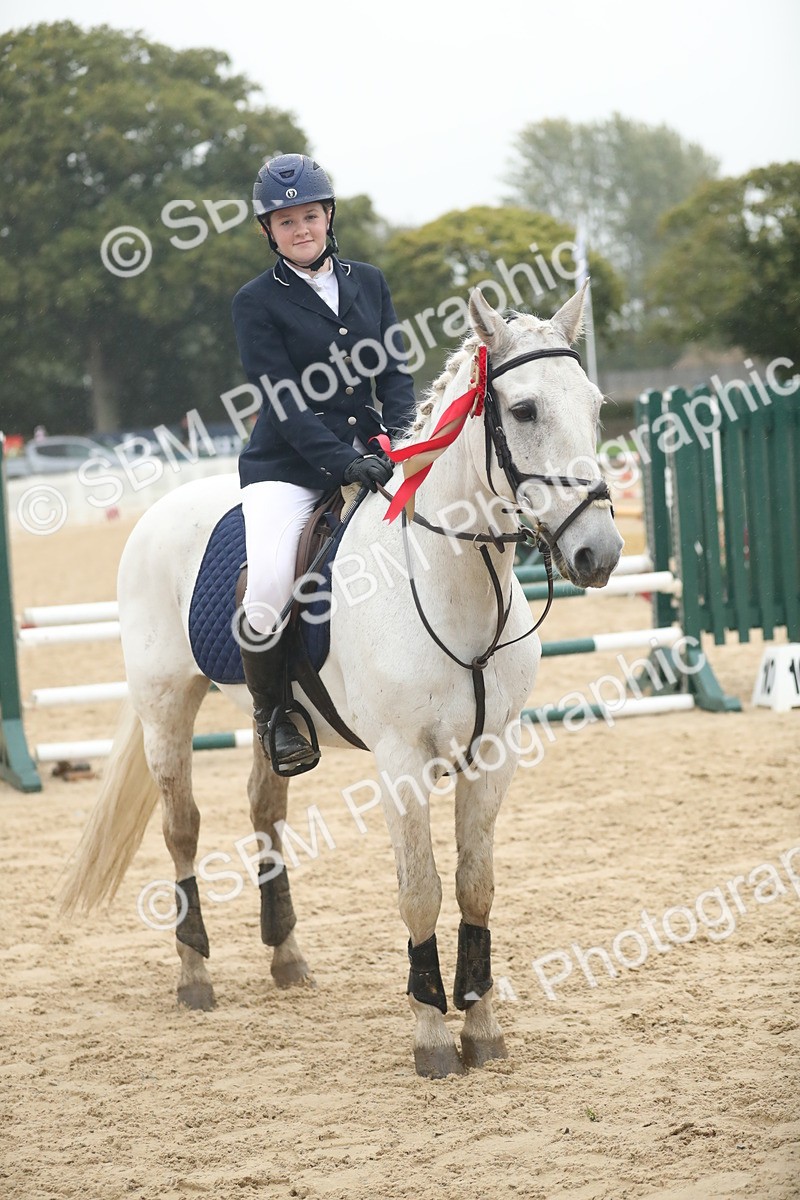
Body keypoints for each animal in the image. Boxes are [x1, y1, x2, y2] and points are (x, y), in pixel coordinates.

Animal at [60, 284, 623, 1078]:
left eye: (596, 406)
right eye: (523, 411)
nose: (598, 553)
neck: (453, 581)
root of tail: (160, 512)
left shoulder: (494, 754)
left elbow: (475, 885)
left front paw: (482, 1029)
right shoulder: (401, 762)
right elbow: (419, 892)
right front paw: (431, 1036)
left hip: (269, 719)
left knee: (265, 809)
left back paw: (286, 958)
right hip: (166, 705)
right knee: (182, 828)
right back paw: (194, 973)